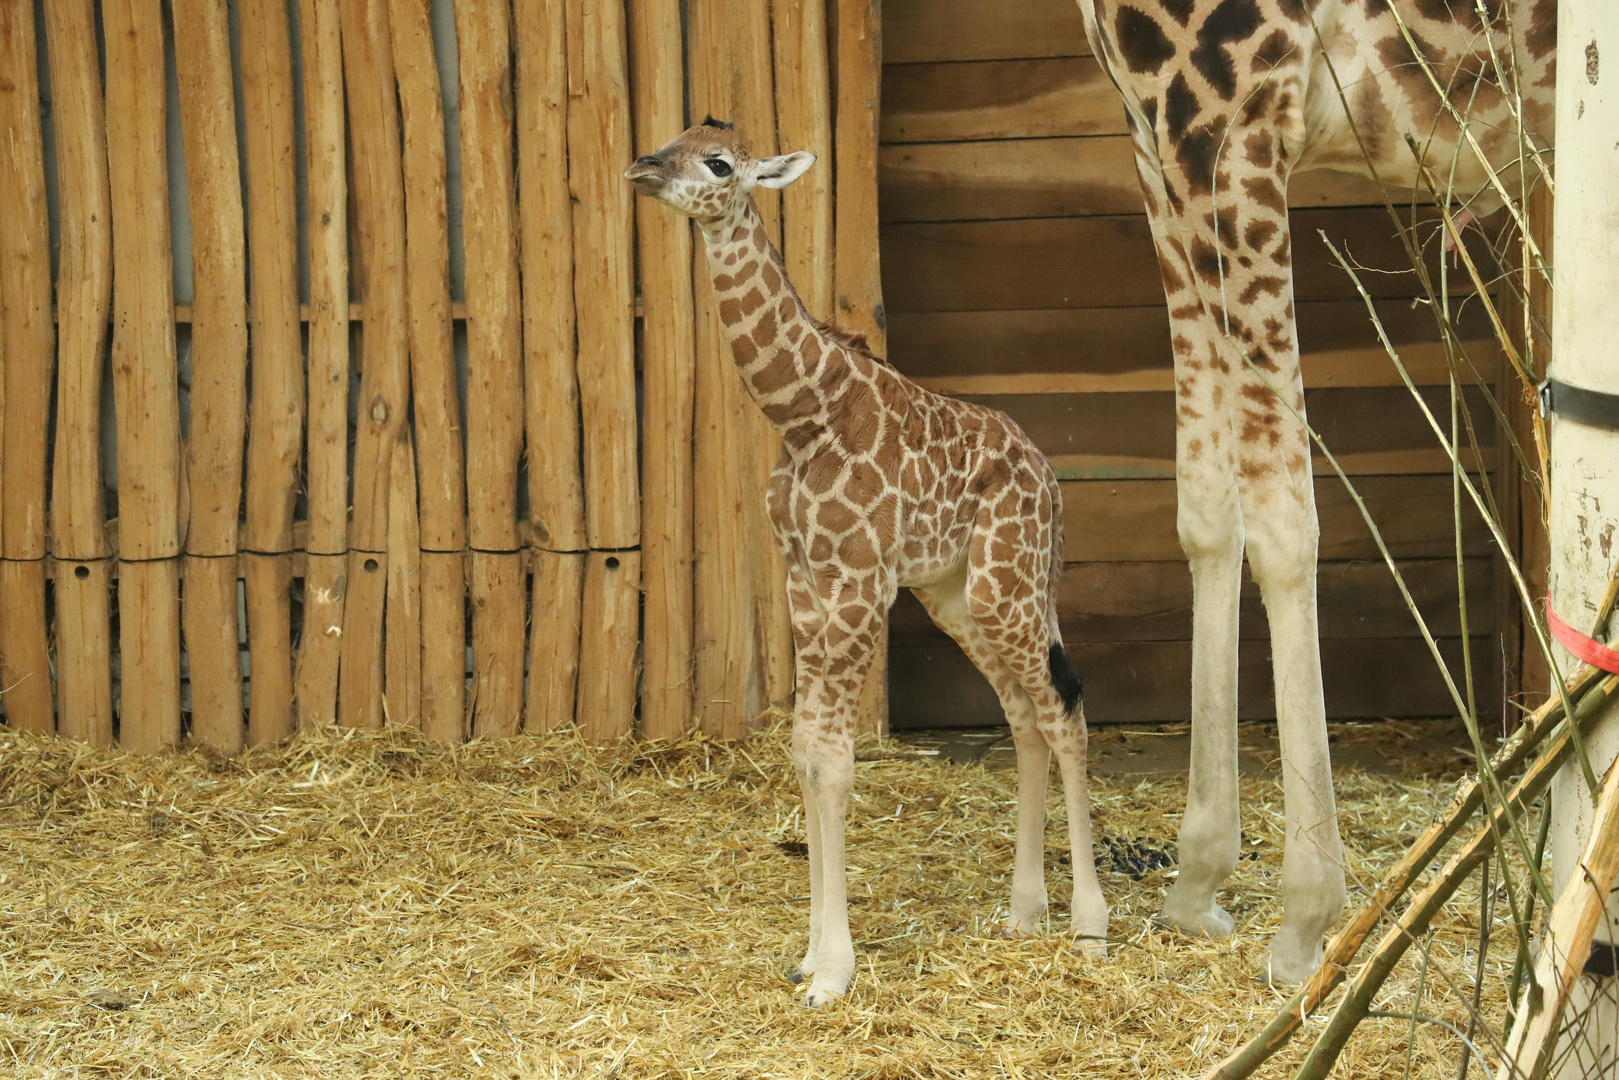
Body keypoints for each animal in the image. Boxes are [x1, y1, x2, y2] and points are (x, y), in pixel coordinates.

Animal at [624, 122, 1107, 1010]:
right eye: (669, 138)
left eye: (716, 163)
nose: (641, 169)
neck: (801, 413)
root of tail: (1054, 485)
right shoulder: (805, 584)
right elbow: (807, 753)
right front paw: (810, 956)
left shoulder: (855, 586)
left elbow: (838, 764)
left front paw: (833, 972)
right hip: (958, 596)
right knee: (1023, 715)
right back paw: (1023, 913)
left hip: (1009, 581)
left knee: (1063, 709)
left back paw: (1090, 927)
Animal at [1075, 0, 1554, 977]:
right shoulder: (1156, 133)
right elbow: (1206, 508)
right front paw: (1197, 881)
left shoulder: (1230, 112)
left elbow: (1282, 520)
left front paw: (1306, 919)